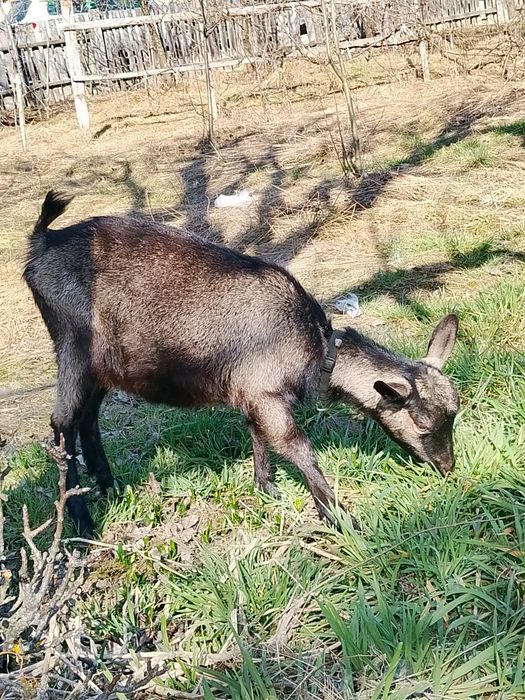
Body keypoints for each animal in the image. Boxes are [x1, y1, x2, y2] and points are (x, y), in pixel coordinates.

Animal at [24, 191, 460, 536]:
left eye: (454, 411)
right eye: (422, 422)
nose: (447, 467)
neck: (314, 348)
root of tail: (43, 242)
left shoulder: (252, 393)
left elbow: (257, 436)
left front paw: (266, 487)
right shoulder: (265, 392)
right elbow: (296, 446)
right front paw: (340, 517)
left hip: (103, 366)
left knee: (87, 416)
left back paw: (108, 485)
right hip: (73, 346)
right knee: (62, 423)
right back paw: (81, 520)